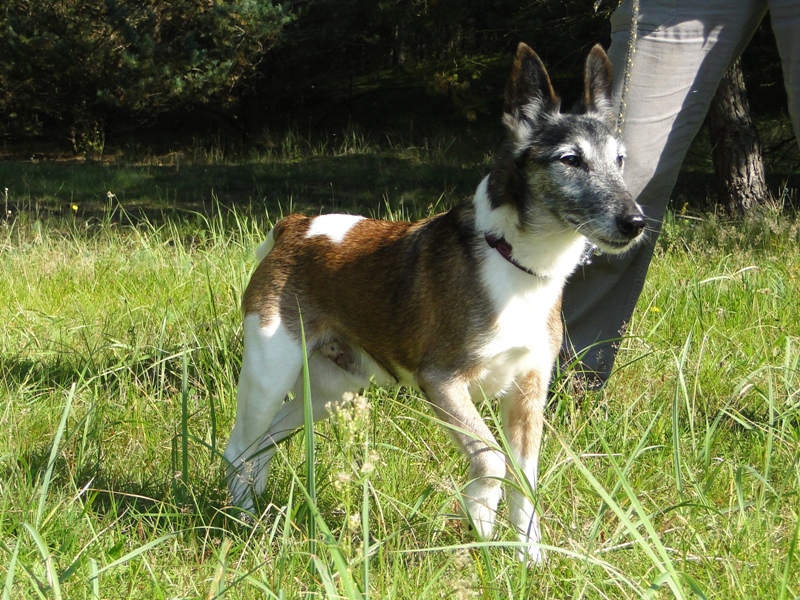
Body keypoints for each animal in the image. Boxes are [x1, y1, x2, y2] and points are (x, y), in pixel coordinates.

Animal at [223, 42, 645, 563]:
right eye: (570, 160)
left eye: (620, 160)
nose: (636, 221)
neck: (517, 264)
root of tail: (296, 226)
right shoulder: (442, 382)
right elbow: (491, 461)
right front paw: (480, 520)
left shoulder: (528, 392)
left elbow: (523, 482)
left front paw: (528, 559)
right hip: (270, 372)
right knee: (239, 447)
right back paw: (241, 519)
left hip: (333, 390)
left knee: (263, 443)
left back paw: (258, 512)